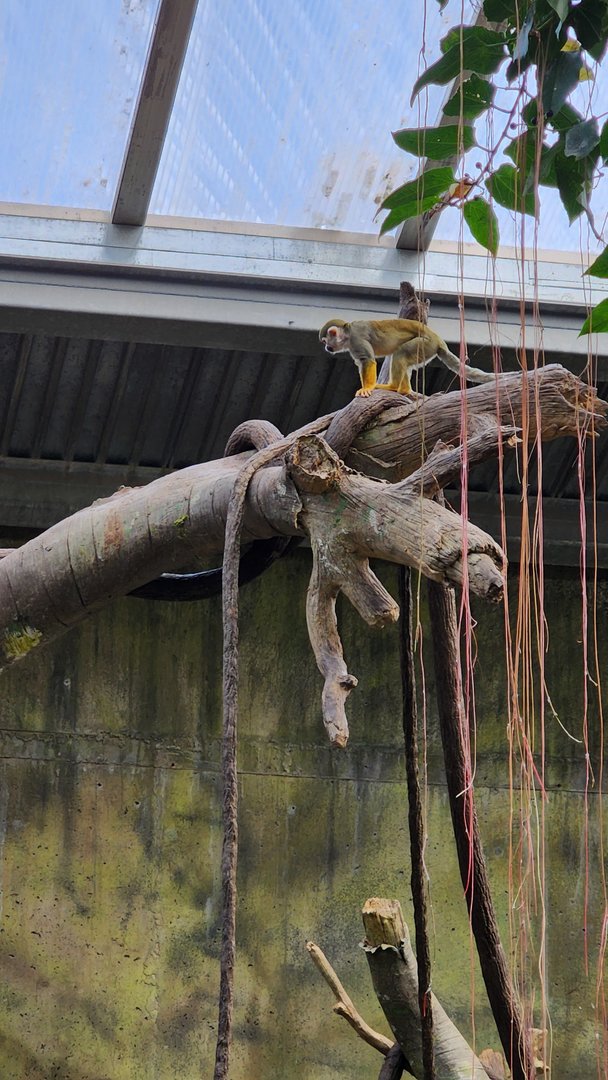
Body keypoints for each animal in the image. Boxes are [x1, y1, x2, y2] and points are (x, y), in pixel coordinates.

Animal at [319, 317, 493, 398]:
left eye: (325, 341)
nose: (326, 348)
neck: (347, 335)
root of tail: (438, 340)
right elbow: (361, 363)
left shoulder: (356, 339)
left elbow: (367, 360)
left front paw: (367, 388)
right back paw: (404, 390)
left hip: (425, 344)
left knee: (400, 352)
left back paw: (393, 387)